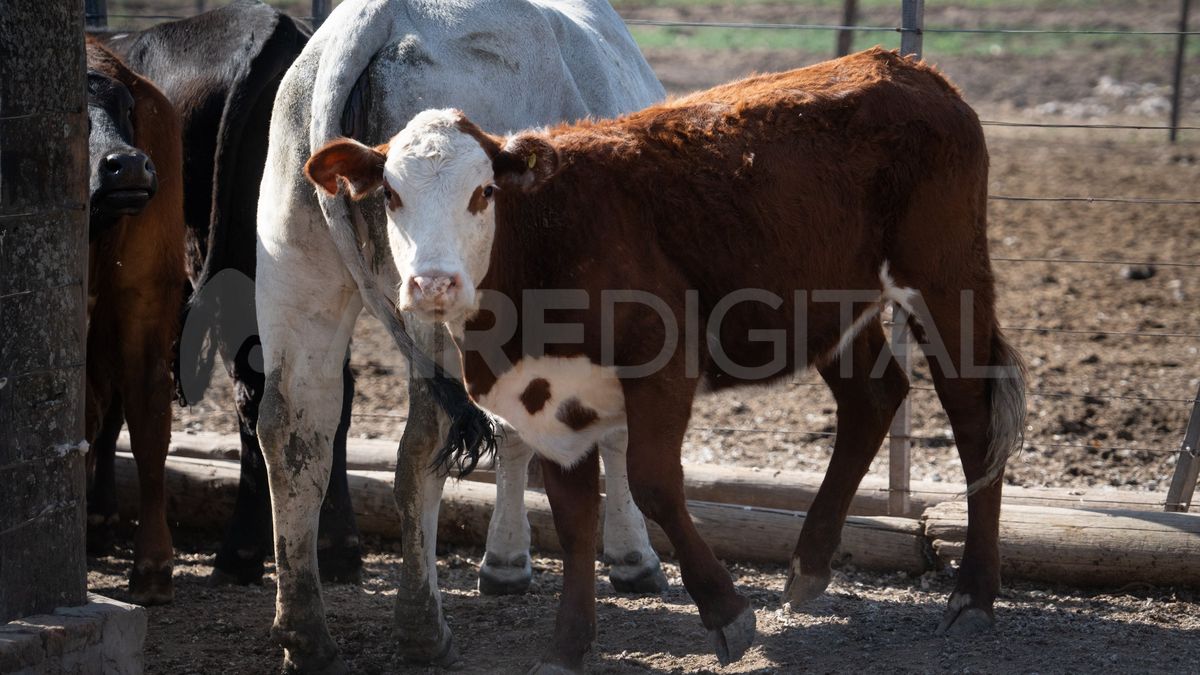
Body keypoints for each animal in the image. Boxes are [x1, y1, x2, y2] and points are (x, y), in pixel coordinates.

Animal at [255, 0, 666, 670]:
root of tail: (379, 16)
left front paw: (506, 561)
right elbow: (612, 434)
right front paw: (632, 557)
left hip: (296, 272)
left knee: (293, 431)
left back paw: (307, 635)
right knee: (424, 441)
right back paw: (423, 628)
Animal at [304, 47, 1029, 670]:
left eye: (482, 193)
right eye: (392, 195)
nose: (433, 284)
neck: (542, 243)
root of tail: (910, 69)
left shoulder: (662, 361)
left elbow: (652, 482)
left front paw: (726, 612)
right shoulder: (548, 399)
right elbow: (573, 516)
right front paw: (568, 646)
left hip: (945, 278)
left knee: (972, 413)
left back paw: (973, 594)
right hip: (833, 304)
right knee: (872, 397)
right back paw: (809, 565)